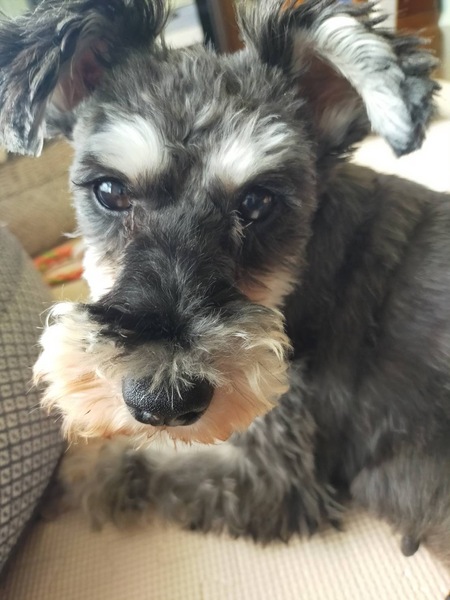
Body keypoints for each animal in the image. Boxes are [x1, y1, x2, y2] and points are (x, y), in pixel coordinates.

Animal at [1, 0, 449, 564]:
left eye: (258, 202)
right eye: (109, 190)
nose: (163, 403)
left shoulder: (272, 475)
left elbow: (139, 467)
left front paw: (73, 475)